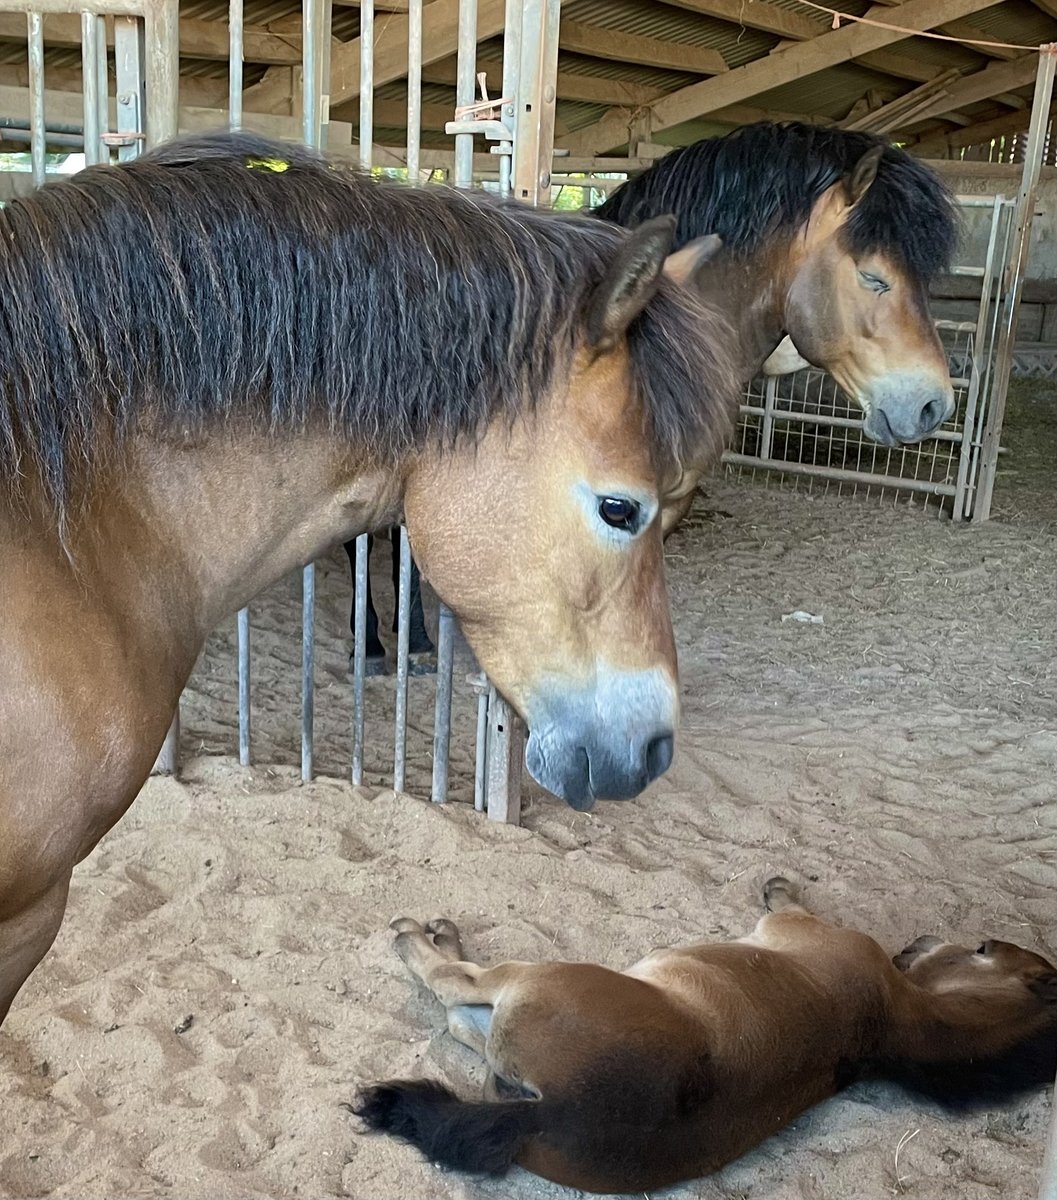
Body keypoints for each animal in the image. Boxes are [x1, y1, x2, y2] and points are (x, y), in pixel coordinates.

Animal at [356, 877, 1057, 1194]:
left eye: (983, 946)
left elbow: (787, 904)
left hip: (535, 979)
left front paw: (777, 885)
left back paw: (417, 937)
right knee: (457, 1004)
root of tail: (558, 1113)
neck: (895, 1012)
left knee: (453, 984)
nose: (913, 944)